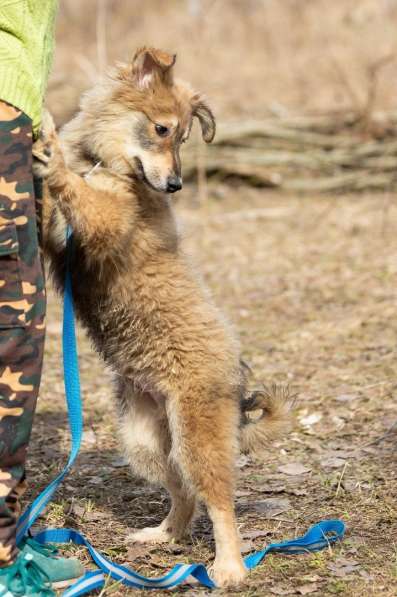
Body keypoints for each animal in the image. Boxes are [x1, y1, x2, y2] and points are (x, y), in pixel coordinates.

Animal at [35, 47, 290, 588]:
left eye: (183, 136)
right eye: (161, 129)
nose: (175, 185)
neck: (106, 163)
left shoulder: (107, 225)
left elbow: (79, 194)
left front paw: (53, 153)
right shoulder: (56, 239)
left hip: (196, 434)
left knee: (218, 501)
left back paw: (229, 567)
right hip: (145, 440)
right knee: (183, 492)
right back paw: (165, 535)